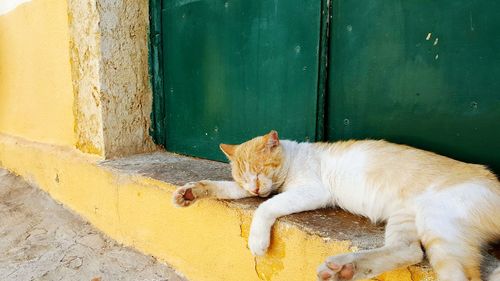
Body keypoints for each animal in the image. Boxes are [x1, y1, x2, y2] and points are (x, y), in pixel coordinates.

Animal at [173, 130, 500, 278]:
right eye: (243, 177)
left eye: (259, 170)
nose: (253, 186)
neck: (293, 159)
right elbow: (228, 189)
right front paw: (189, 192)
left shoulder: (312, 191)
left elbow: (268, 206)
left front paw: (257, 241)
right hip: (407, 218)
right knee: (407, 250)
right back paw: (345, 268)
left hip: (439, 224)